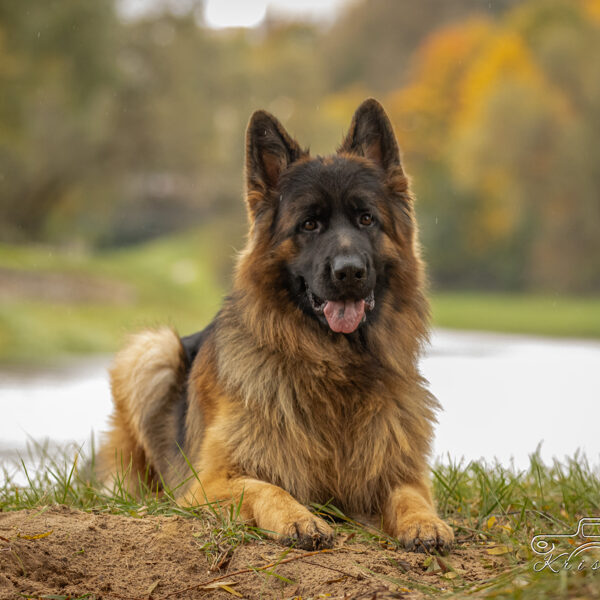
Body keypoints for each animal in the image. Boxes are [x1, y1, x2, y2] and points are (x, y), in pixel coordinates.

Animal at [98, 98, 452, 552]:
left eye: (366, 220)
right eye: (309, 224)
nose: (349, 272)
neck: (333, 368)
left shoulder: (396, 471)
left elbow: (411, 495)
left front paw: (426, 522)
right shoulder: (208, 484)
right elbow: (266, 487)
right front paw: (297, 518)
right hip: (152, 350)